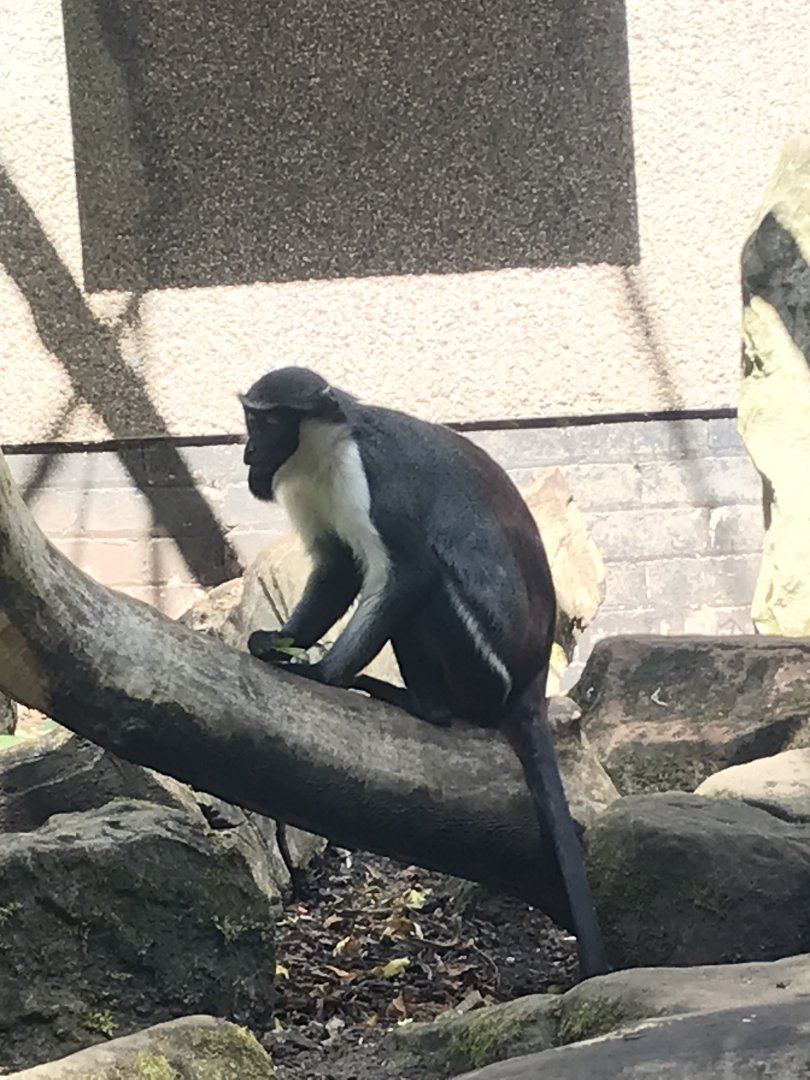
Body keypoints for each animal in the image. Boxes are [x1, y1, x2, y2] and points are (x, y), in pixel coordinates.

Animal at [240, 366, 608, 978]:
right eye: (250, 419)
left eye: (267, 423)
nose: (247, 452)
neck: (327, 445)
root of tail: (531, 685)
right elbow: (338, 570)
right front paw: (279, 643)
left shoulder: (371, 482)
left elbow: (407, 573)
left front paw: (322, 675)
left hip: (480, 668)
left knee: (431, 589)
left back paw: (417, 704)